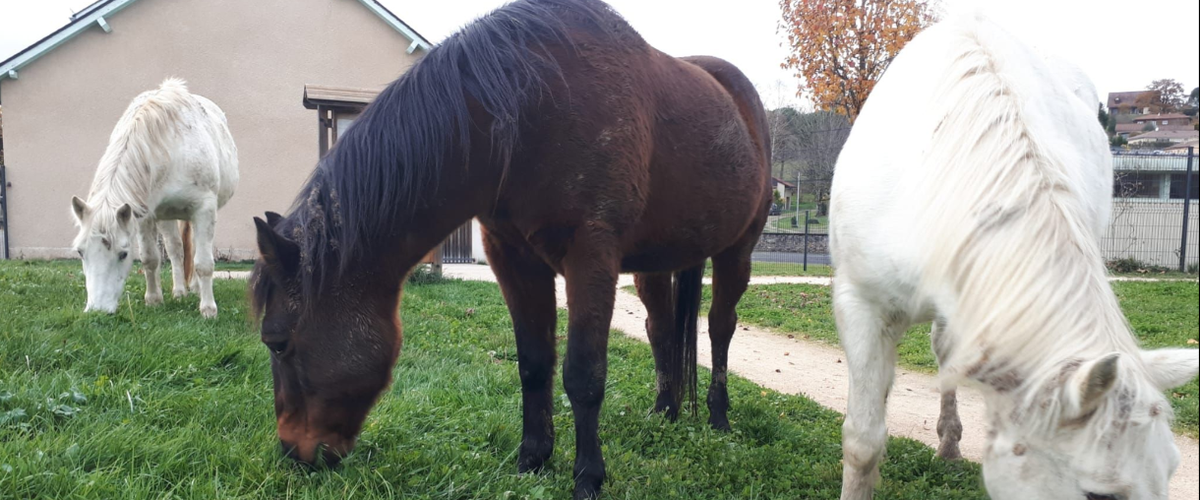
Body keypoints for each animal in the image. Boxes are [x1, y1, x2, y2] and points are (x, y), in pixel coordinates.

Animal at [70, 78, 236, 318]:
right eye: (81, 252)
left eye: (123, 254)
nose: (97, 311)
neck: (171, 147)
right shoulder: (144, 215)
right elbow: (150, 258)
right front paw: (154, 300)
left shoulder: (204, 209)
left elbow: (204, 263)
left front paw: (208, 310)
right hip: (167, 216)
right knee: (176, 250)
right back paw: (179, 291)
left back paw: (196, 289)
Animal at [250, 0, 768, 494]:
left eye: (277, 343)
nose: (293, 452)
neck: (529, 108)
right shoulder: (513, 258)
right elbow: (534, 364)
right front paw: (532, 460)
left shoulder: (591, 257)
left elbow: (584, 374)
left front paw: (588, 476)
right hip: (655, 266)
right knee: (661, 330)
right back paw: (664, 411)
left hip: (736, 253)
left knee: (720, 328)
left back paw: (718, 416)